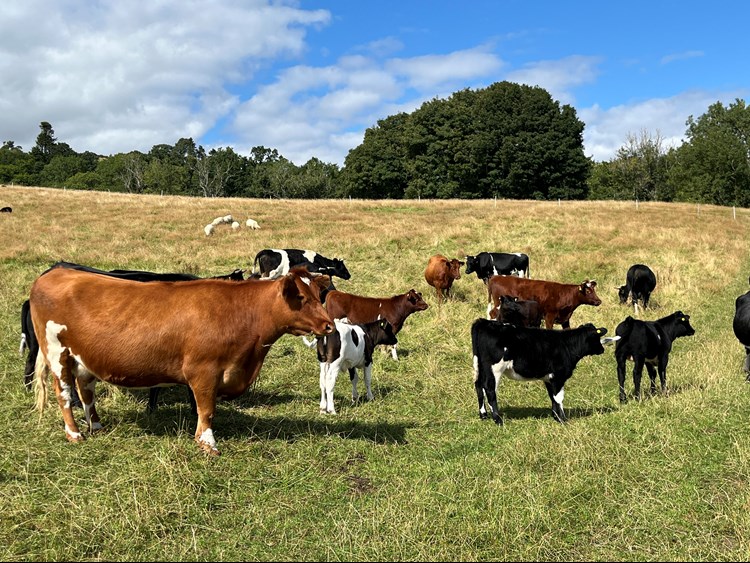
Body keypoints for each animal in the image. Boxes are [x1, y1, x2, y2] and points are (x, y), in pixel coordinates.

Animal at [30, 266, 333, 455]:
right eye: (300, 296)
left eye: (318, 296)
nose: (329, 325)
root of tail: (56, 272)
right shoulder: (204, 371)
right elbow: (206, 409)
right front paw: (208, 443)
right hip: (57, 352)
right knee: (64, 394)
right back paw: (74, 433)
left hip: (83, 358)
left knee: (86, 392)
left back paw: (96, 425)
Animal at [472, 319, 610, 424]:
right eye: (597, 337)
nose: (602, 349)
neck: (567, 345)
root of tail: (484, 322)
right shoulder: (558, 376)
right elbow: (559, 397)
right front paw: (563, 419)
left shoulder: (548, 378)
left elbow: (552, 397)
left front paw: (555, 416)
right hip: (495, 368)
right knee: (489, 389)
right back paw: (498, 419)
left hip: (480, 367)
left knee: (478, 386)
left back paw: (483, 415)